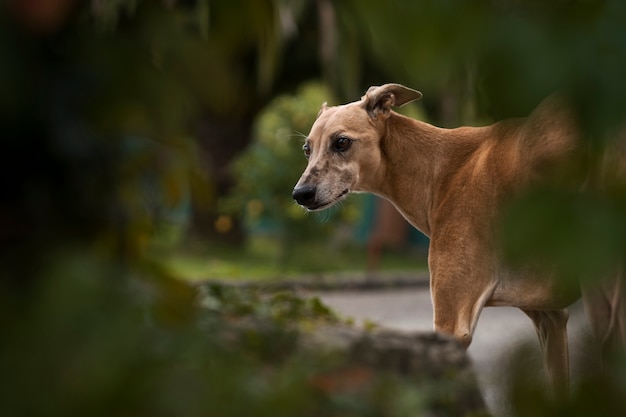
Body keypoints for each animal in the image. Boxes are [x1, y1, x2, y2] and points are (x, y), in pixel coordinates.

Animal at [292, 83, 624, 394]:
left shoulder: (452, 325)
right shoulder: (550, 319)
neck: (440, 169)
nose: (300, 194)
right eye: (307, 149)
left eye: (342, 142)